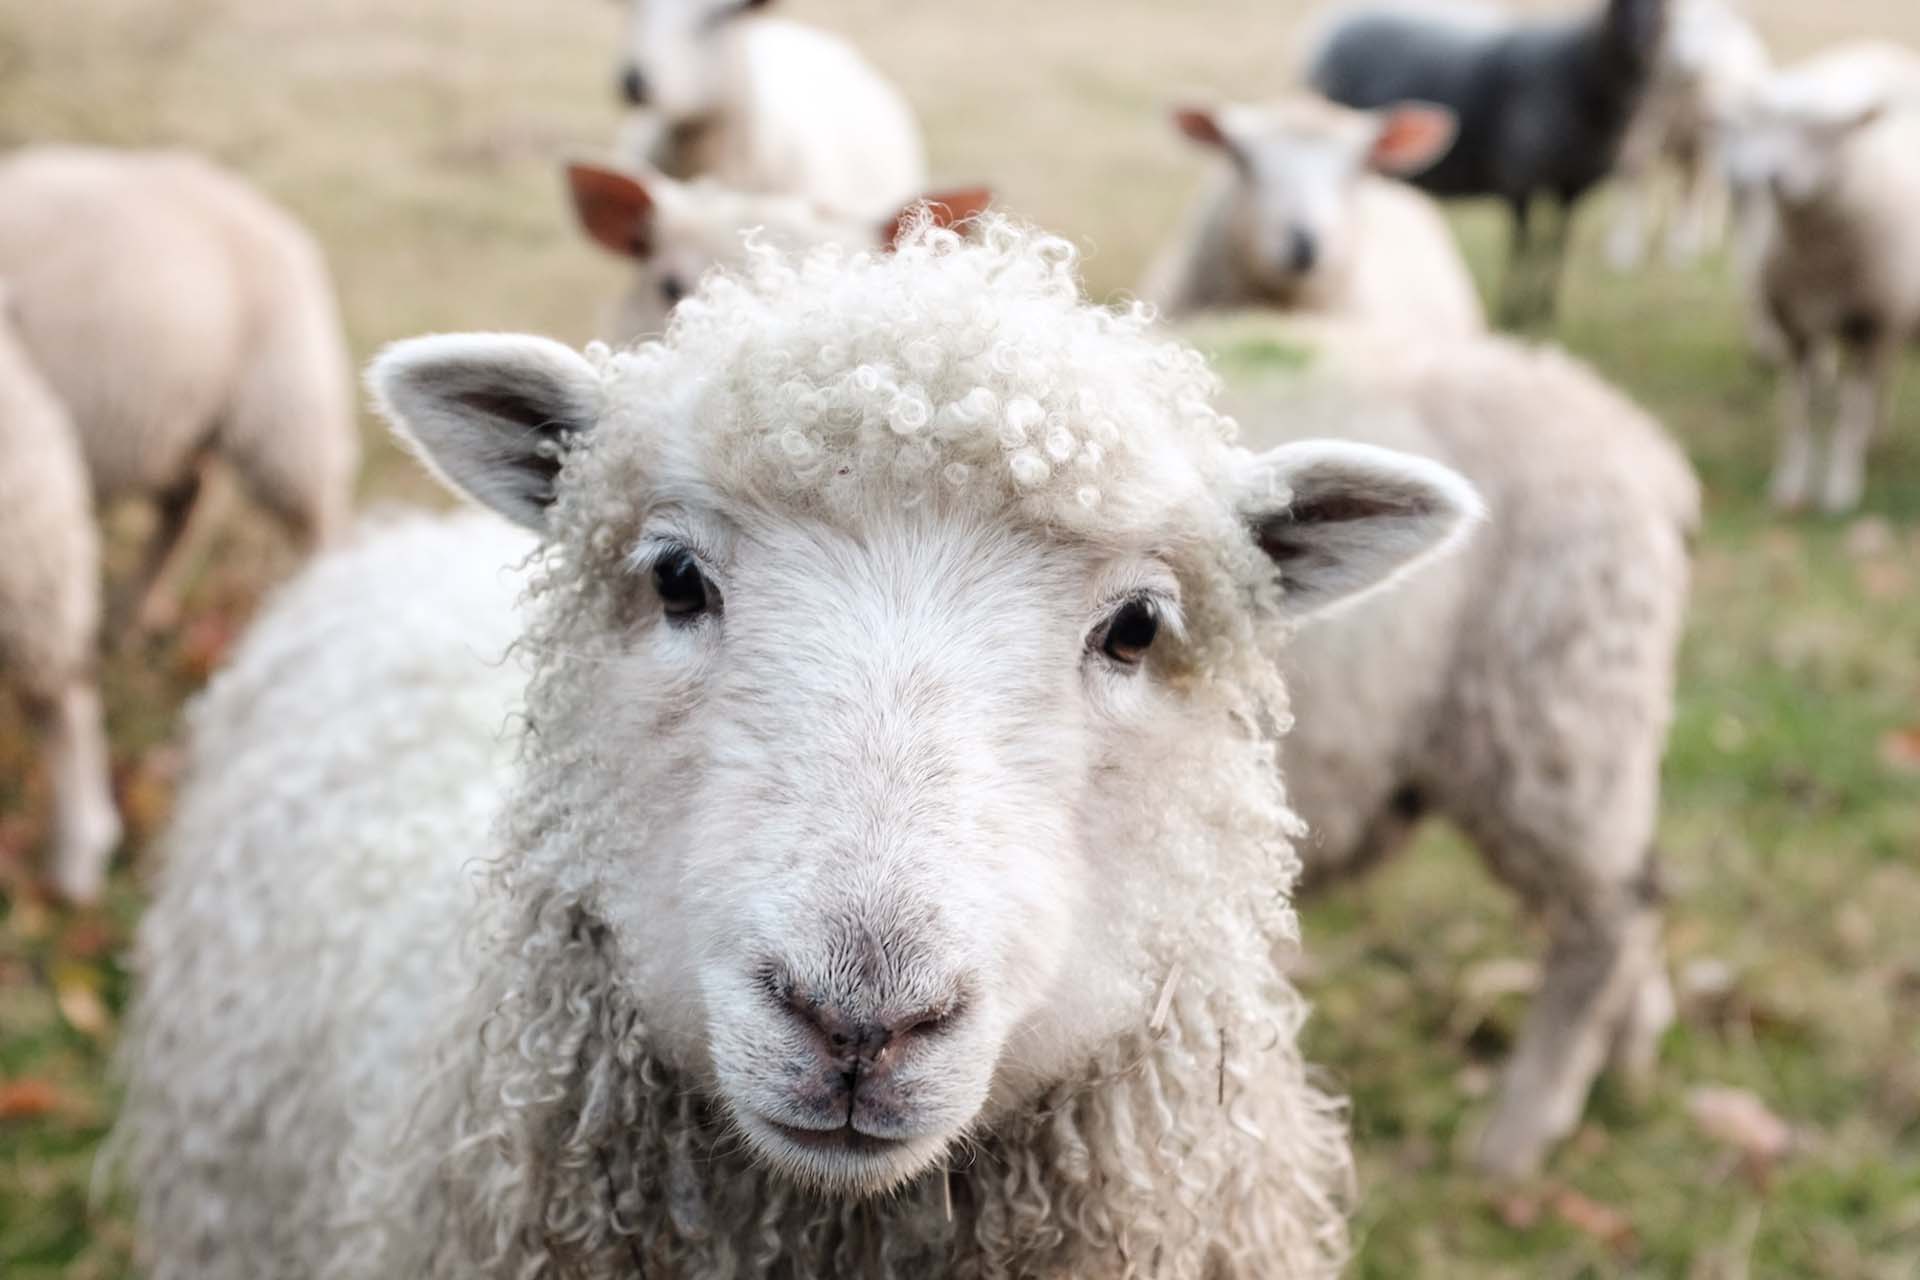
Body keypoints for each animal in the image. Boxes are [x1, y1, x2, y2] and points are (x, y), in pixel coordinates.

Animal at [1308, 0, 1669, 325]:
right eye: (1618, 5)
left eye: (1665, 7)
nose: (1640, 38)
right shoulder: (1520, 179)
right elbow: (1523, 245)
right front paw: (1515, 310)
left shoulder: (1572, 186)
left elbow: (1556, 244)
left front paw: (1544, 309)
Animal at [1606, 0, 1772, 272]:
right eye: (1673, 20)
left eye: (1710, 27)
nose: (1687, 60)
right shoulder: (1644, 121)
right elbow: (1635, 172)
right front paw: (1623, 248)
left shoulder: (1706, 142)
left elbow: (1696, 189)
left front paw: (1683, 249)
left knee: (1709, 187)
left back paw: (1702, 239)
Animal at [1719, 43, 1920, 512]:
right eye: (1767, 124)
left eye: (1827, 133)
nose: (1771, 178)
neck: (1819, 261)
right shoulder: (1796, 328)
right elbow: (1797, 409)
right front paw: (1790, 485)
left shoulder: (1872, 324)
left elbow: (1851, 411)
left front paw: (1841, 489)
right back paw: (1876, 440)